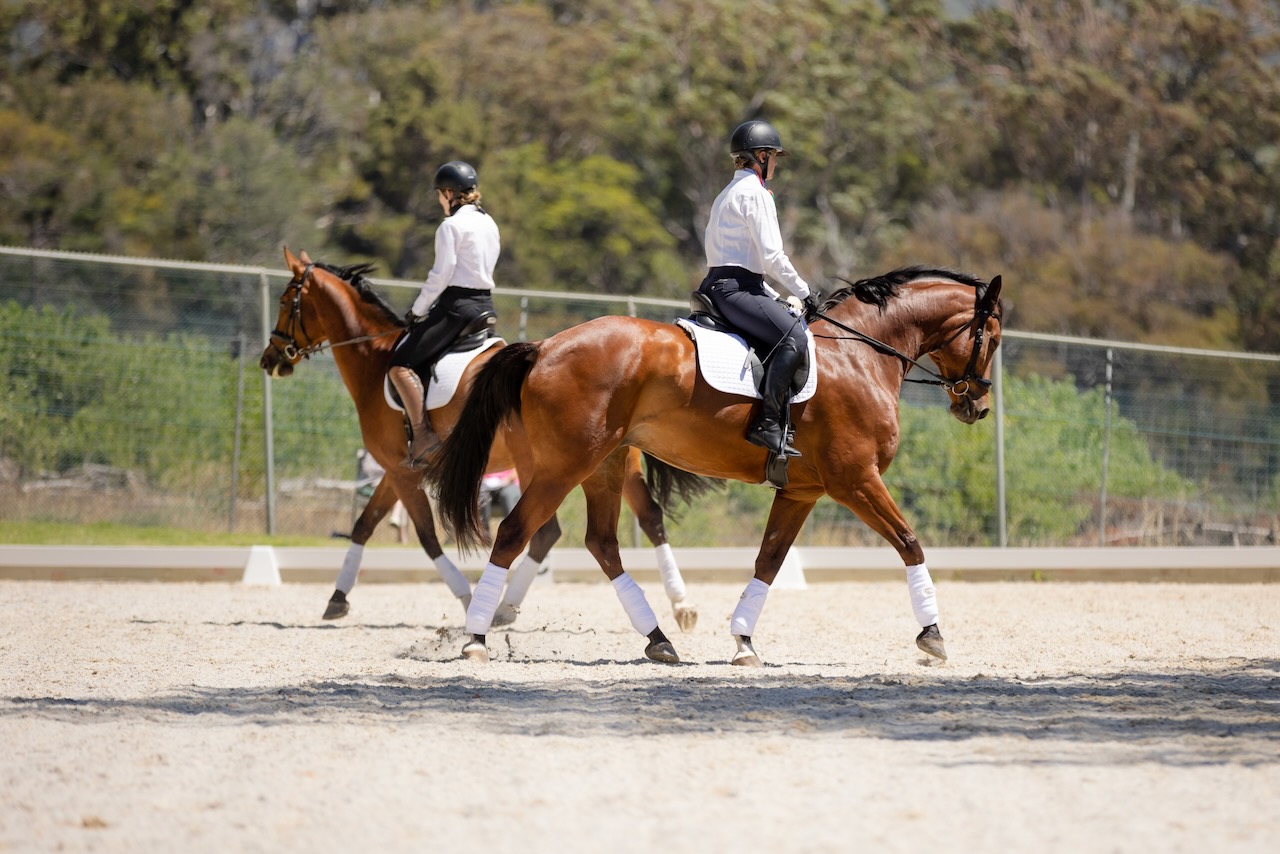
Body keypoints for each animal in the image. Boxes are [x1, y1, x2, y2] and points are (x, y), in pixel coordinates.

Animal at [259, 247, 704, 631]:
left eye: (285, 301)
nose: (270, 360)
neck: (376, 359)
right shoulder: (395, 469)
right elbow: (363, 526)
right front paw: (337, 598)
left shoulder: (401, 471)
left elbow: (425, 537)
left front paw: (466, 597)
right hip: (611, 461)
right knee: (650, 517)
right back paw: (681, 605)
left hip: (544, 466)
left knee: (544, 532)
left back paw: (502, 608)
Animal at [426, 267, 1003, 665]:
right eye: (992, 337)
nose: (976, 406)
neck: (859, 355)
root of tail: (543, 347)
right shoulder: (855, 480)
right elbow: (909, 542)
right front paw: (933, 636)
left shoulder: (802, 491)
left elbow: (769, 561)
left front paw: (744, 641)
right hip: (564, 464)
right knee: (515, 532)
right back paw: (476, 638)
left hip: (604, 464)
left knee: (602, 544)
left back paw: (659, 640)